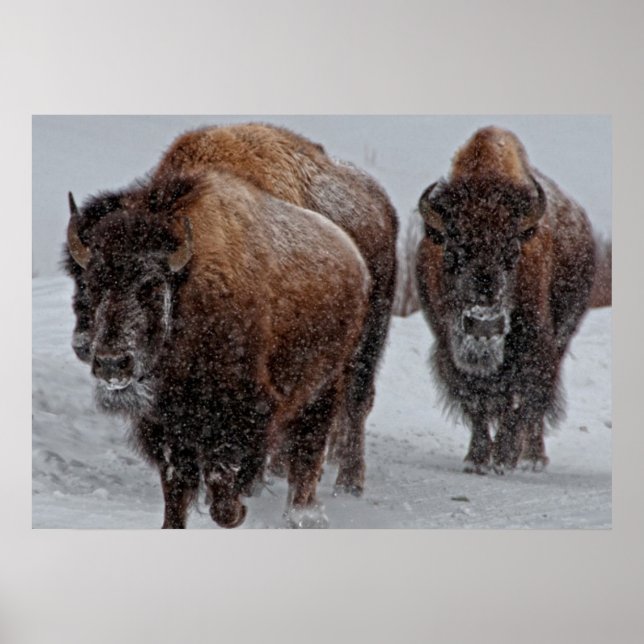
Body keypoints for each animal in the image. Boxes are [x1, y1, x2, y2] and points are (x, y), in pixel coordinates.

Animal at [68, 123, 398, 495]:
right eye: (83, 280)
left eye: (151, 287)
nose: (91, 349)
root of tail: (380, 204)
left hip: (367, 341)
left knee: (356, 401)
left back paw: (348, 482)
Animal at [415, 126, 596, 473]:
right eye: (452, 253)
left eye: (512, 253)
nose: (484, 326)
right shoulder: (448, 346)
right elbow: (475, 400)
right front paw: (476, 459)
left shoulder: (534, 344)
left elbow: (520, 400)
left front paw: (503, 458)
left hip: (561, 338)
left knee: (535, 406)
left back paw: (533, 458)